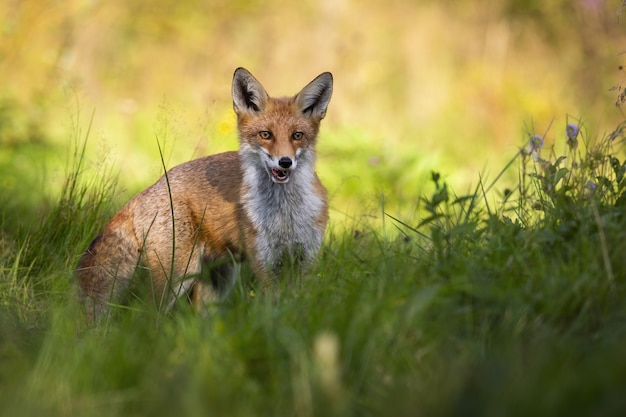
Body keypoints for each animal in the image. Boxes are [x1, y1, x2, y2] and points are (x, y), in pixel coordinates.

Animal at [75, 67, 332, 322]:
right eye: (265, 134)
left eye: (297, 135)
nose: (285, 162)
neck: (285, 217)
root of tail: (146, 191)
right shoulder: (265, 264)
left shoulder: (306, 260)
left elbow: (297, 307)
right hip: (177, 275)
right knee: (148, 314)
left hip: (218, 281)